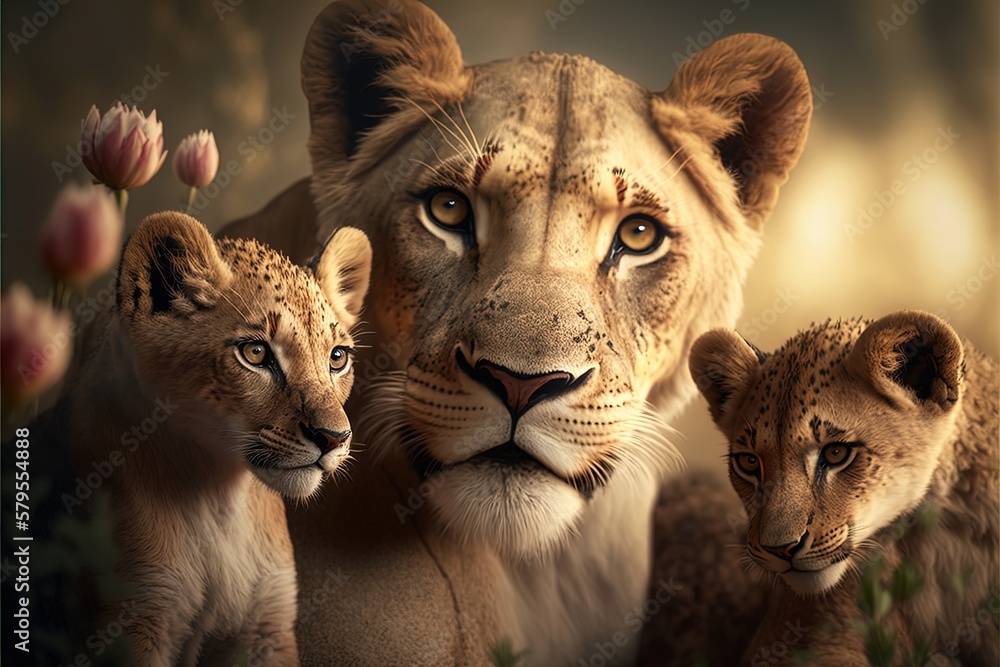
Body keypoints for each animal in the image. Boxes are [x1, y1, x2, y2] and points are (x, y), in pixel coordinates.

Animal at [18, 212, 370, 666]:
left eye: (337, 358)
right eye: (255, 354)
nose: (334, 437)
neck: (218, 495)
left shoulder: (268, 626)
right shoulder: (131, 623)